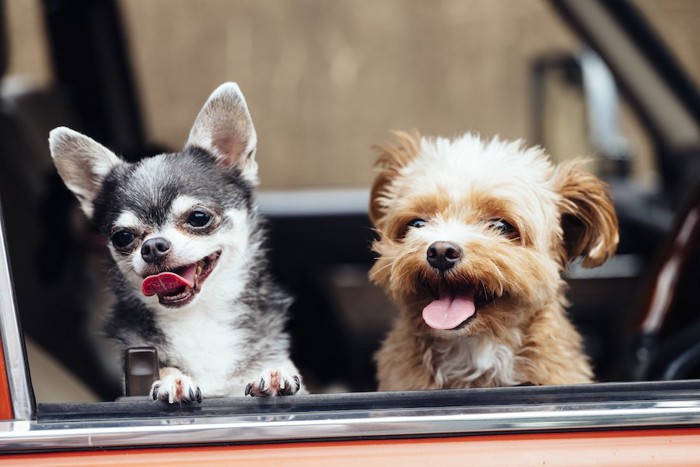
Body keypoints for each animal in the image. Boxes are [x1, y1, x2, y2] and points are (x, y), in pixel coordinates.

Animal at [47, 83, 302, 402]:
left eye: (198, 217)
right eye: (123, 237)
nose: (153, 246)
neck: (200, 318)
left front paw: (274, 371)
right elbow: (164, 369)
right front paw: (173, 379)